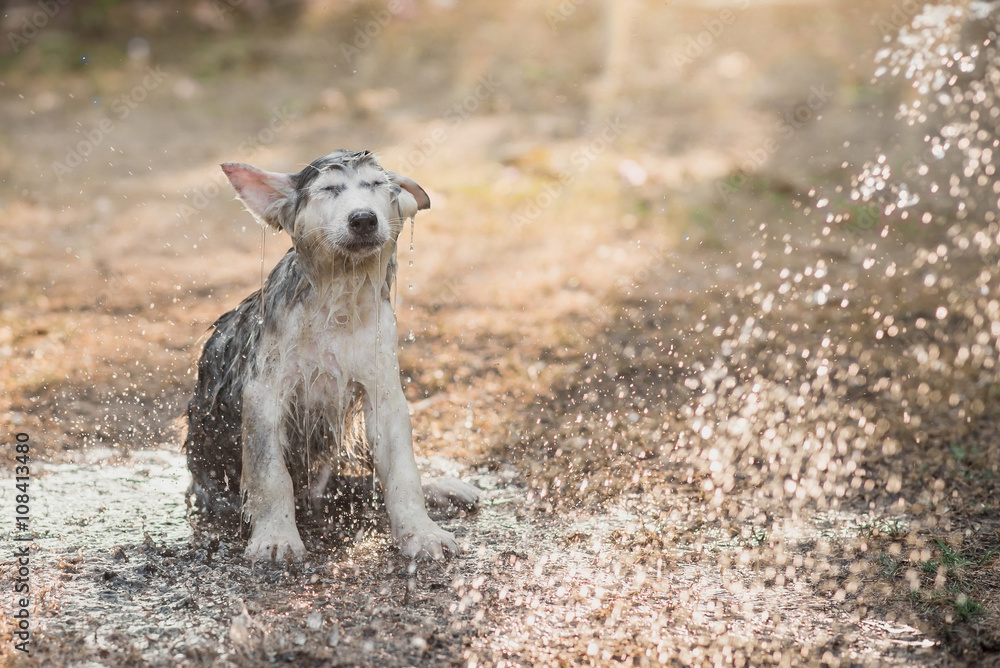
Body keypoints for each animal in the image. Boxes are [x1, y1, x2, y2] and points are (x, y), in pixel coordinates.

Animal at [185, 149, 480, 560]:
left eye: (376, 184)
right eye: (328, 189)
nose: (363, 219)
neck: (336, 301)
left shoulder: (383, 390)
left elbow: (402, 470)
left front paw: (421, 533)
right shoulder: (264, 391)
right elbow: (269, 473)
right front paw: (276, 537)